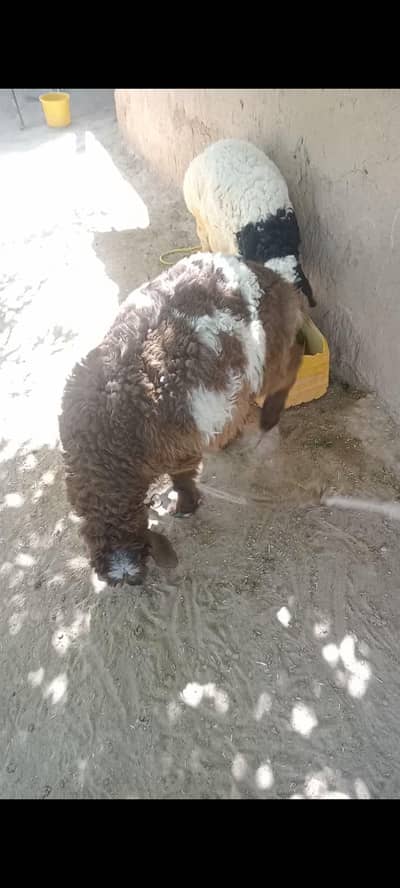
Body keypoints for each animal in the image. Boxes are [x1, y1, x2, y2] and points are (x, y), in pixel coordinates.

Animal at [59, 252, 304, 588]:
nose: (135, 582)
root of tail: (269, 273)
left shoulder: (179, 449)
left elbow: (183, 478)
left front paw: (186, 506)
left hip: (268, 353)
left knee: (293, 361)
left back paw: (270, 415)